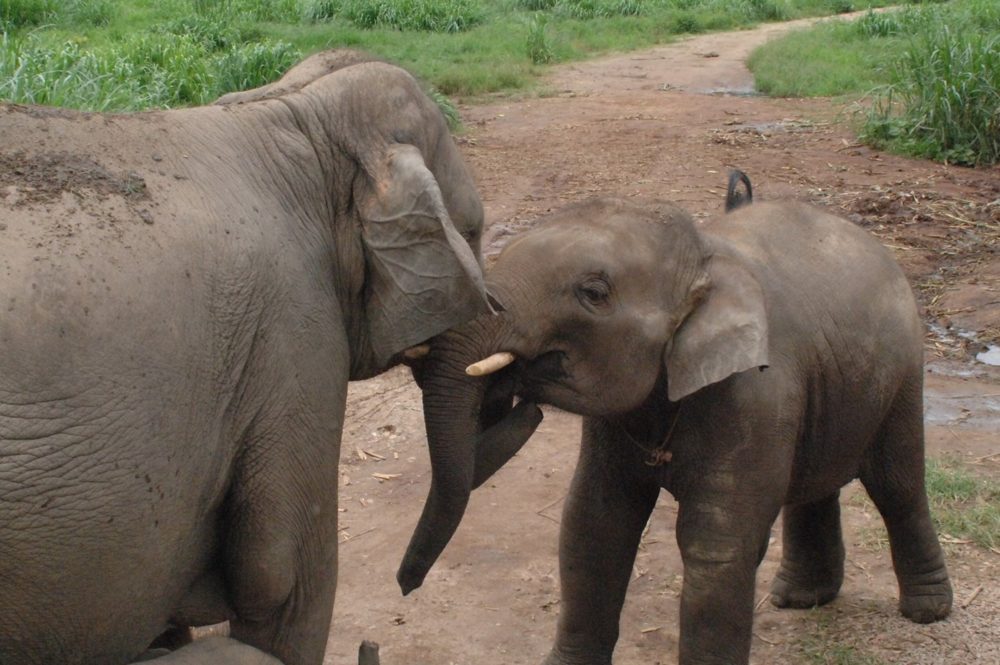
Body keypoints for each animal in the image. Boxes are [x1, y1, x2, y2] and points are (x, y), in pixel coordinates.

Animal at [398, 191, 954, 664]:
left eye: (593, 292)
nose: (406, 586)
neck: (703, 260)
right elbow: (593, 525)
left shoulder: (753, 392)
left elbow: (716, 545)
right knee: (813, 484)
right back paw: (799, 599)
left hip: (904, 372)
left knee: (897, 483)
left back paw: (926, 611)